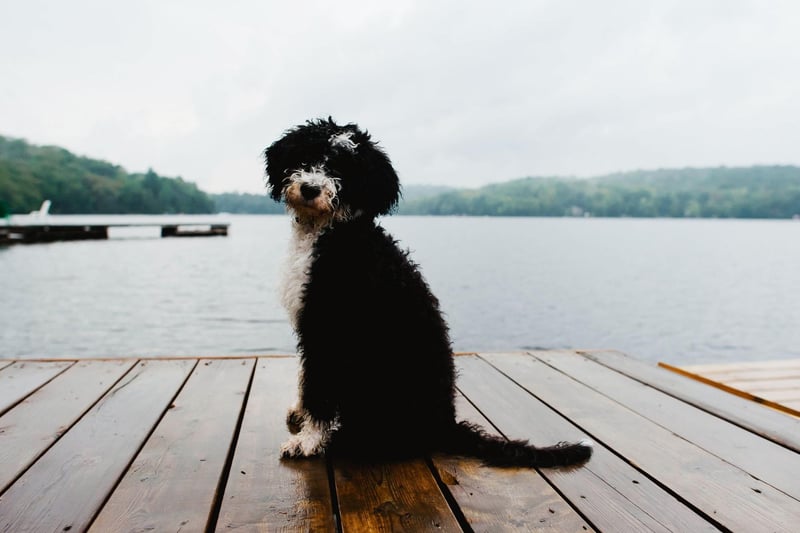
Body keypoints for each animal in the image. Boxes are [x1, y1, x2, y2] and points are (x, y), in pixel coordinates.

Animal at [266, 117, 592, 466]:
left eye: (344, 167)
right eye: (307, 155)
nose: (310, 189)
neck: (332, 233)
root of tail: (445, 424)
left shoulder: (328, 328)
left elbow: (319, 389)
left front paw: (308, 440)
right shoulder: (311, 329)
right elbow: (306, 379)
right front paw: (301, 415)